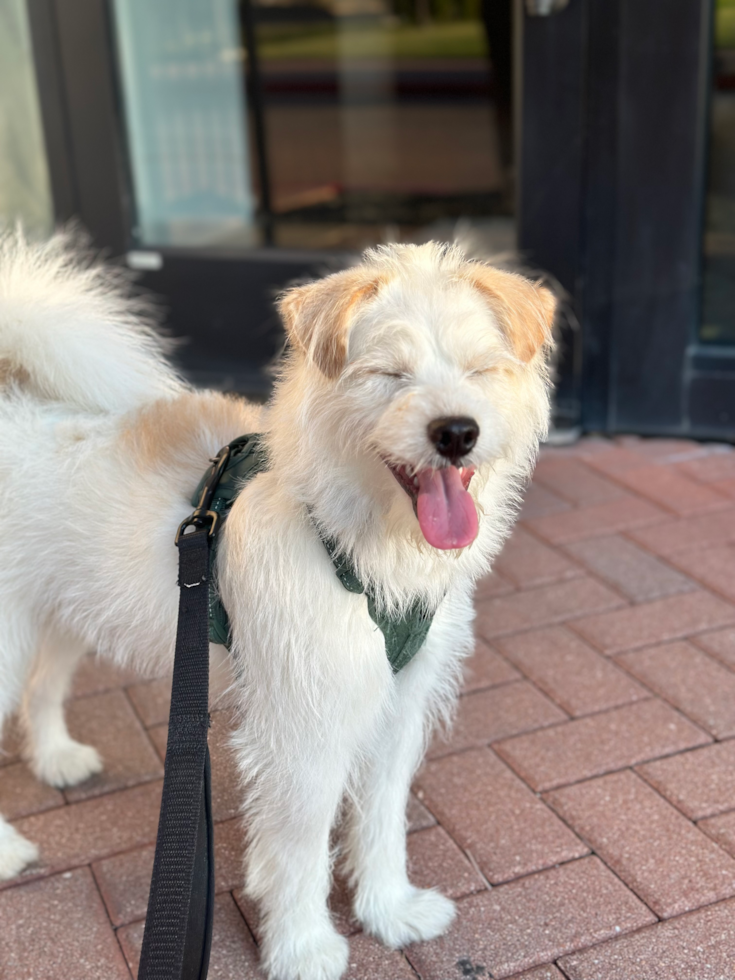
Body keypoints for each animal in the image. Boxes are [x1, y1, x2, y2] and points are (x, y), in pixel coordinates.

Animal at [0, 232, 552, 980]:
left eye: (480, 369)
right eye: (388, 374)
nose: (456, 432)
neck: (347, 539)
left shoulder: (395, 709)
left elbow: (381, 822)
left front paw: (389, 911)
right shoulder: (301, 729)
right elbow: (299, 847)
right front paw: (303, 948)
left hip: (64, 613)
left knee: (42, 689)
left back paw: (58, 758)